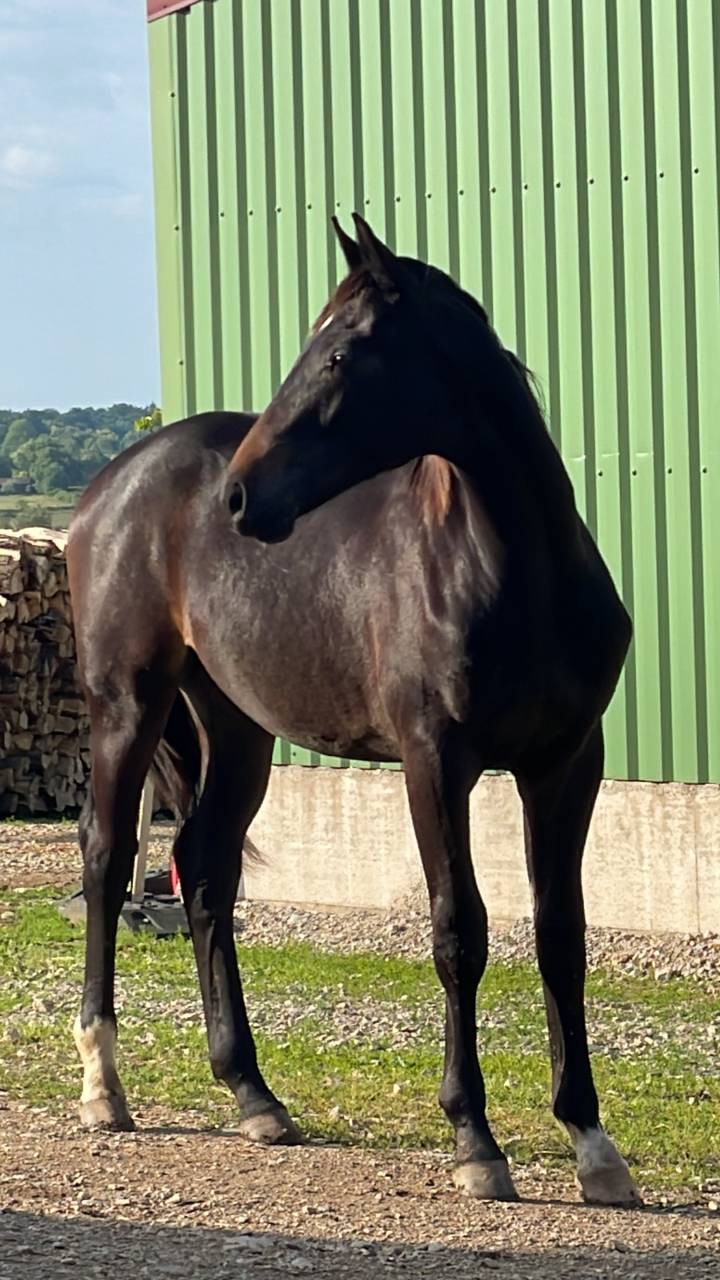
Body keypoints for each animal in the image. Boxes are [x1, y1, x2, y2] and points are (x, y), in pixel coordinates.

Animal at [67, 214, 637, 1206]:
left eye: (338, 353)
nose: (241, 496)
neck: (511, 570)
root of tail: (112, 485)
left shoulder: (568, 762)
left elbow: (561, 935)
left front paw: (593, 1144)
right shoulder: (435, 761)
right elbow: (459, 931)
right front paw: (475, 1139)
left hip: (237, 730)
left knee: (203, 867)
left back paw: (254, 1095)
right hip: (127, 704)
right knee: (107, 858)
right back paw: (105, 1083)